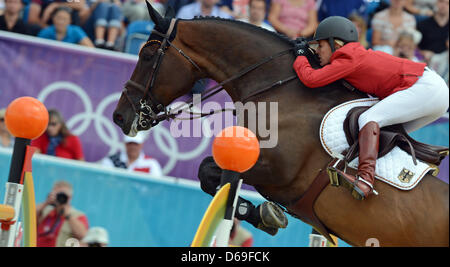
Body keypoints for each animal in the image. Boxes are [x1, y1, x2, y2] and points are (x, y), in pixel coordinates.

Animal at [111, 2, 446, 247]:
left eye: (147, 54)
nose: (119, 116)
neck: (280, 91)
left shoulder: (276, 170)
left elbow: (208, 171)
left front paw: (263, 214)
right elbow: (209, 176)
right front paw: (265, 215)